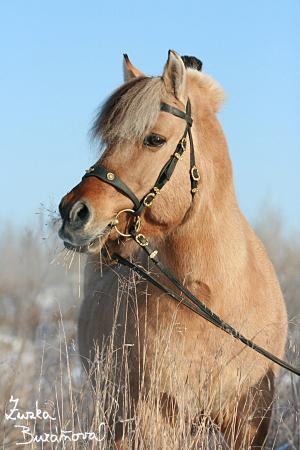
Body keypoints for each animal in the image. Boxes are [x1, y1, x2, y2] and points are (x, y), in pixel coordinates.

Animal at [59, 51, 288, 448]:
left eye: (154, 139)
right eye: (107, 140)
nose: (73, 212)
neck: (214, 298)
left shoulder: (250, 419)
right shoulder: (156, 416)